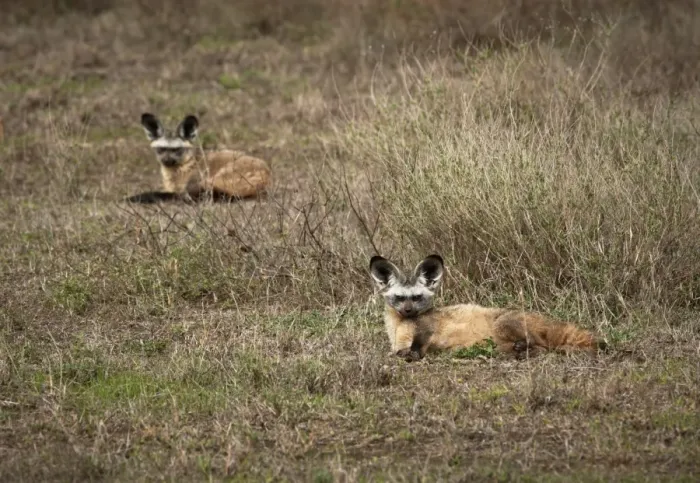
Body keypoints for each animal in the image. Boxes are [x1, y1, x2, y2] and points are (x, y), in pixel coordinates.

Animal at [369, 254, 607, 362]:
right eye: (400, 298)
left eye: (417, 297)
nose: (408, 311)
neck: (401, 327)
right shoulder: (400, 343)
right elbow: (400, 351)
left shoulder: (426, 331)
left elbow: (416, 347)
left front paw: (414, 355)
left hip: (503, 325)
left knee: (541, 346)